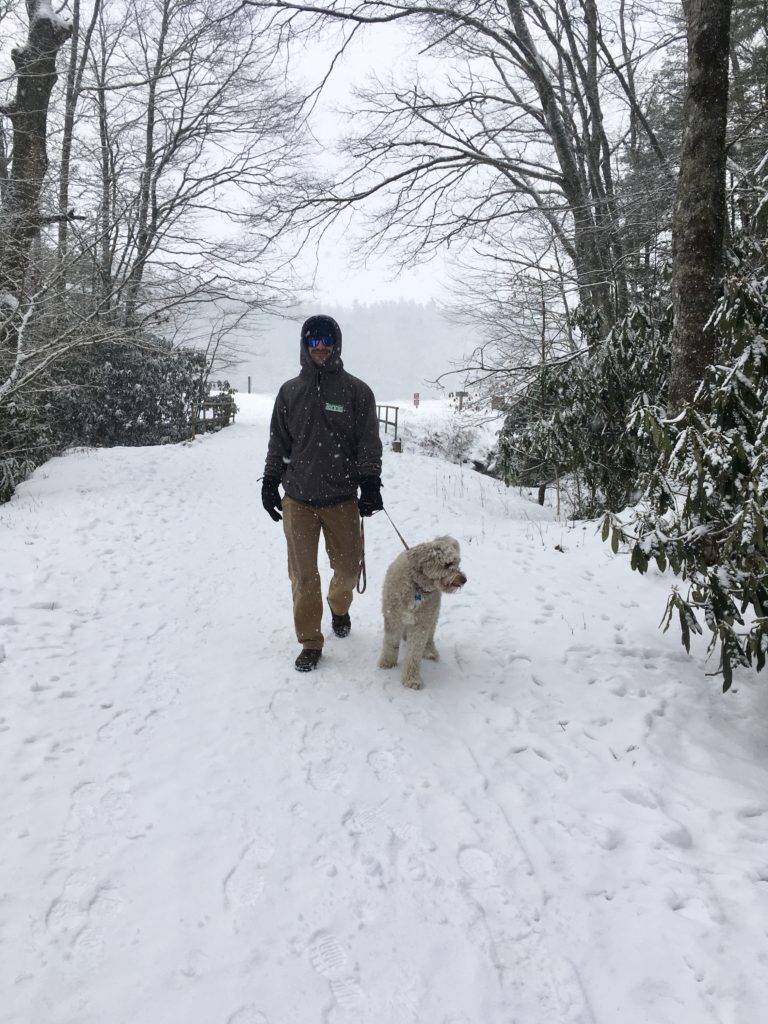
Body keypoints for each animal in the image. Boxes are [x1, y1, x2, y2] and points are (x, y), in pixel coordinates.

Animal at [376, 536, 466, 688]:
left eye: (457, 562)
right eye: (448, 564)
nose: (464, 579)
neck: (417, 587)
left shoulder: (421, 624)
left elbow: (414, 652)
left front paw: (412, 680)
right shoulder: (392, 617)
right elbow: (391, 642)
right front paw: (387, 663)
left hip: (433, 614)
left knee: (430, 636)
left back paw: (430, 651)